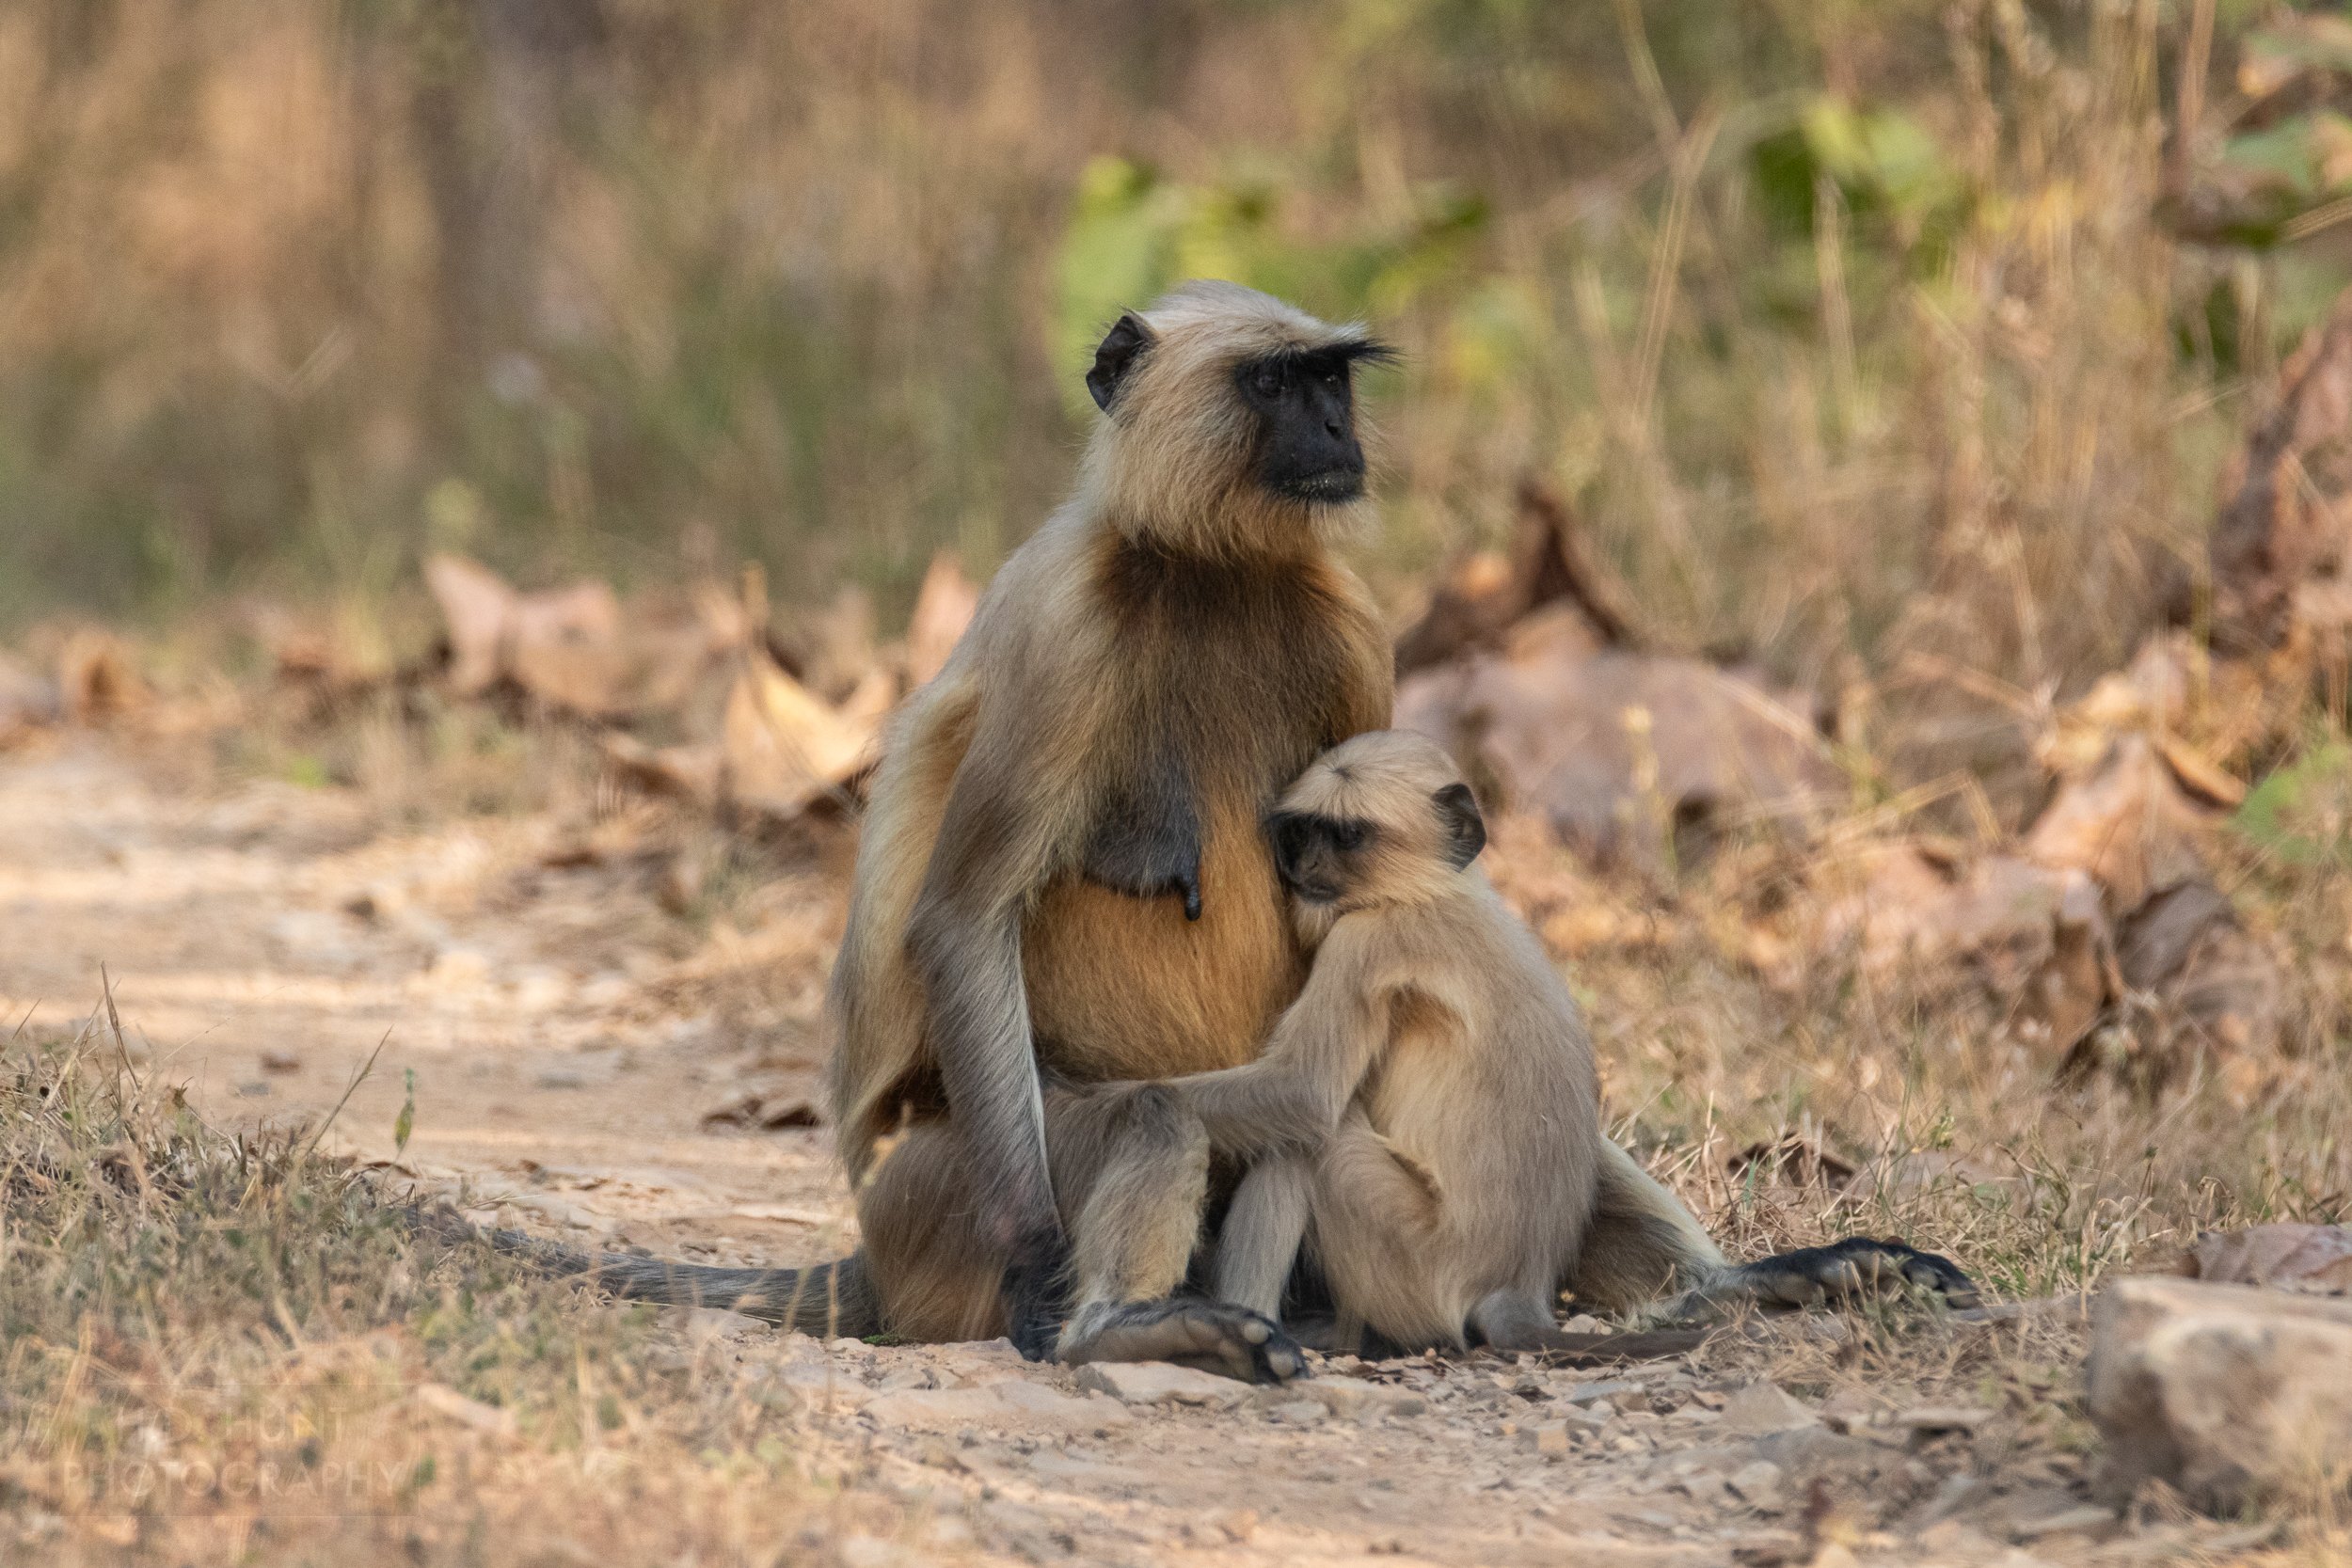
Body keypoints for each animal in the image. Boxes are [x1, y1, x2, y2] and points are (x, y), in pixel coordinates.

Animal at [1164, 730, 1977, 1354]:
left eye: (1346, 835)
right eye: (1303, 832)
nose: (1303, 869)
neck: (1439, 890)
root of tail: (1516, 1286)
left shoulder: (1368, 941)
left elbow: (1303, 1092)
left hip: (1411, 1257)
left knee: (1309, 1140)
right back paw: (1737, 1287)